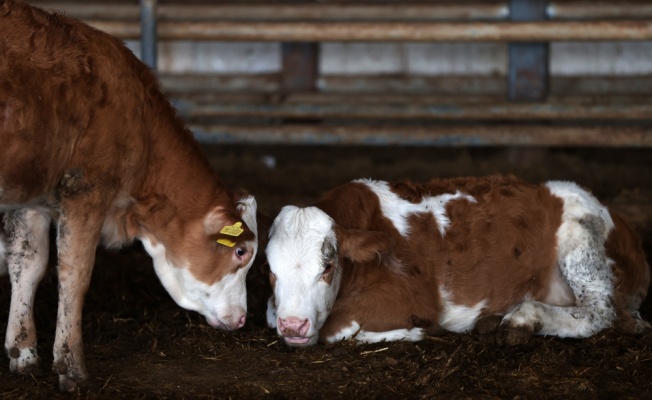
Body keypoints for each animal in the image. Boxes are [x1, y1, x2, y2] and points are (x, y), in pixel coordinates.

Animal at [0, 0, 260, 390]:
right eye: (240, 251)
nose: (243, 319)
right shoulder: (87, 190)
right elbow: (74, 275)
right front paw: (71, 367)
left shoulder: (31, 195)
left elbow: (28, 266)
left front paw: (24, 353)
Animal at [266, 177, 652, 346]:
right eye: (270, 272)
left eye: (327, 268)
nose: (294, 325)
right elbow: (271, 313)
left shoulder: (411, 297)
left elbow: (336, 328)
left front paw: (420, 330)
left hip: (581, 242)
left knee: (600, 313)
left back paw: (525, 318)